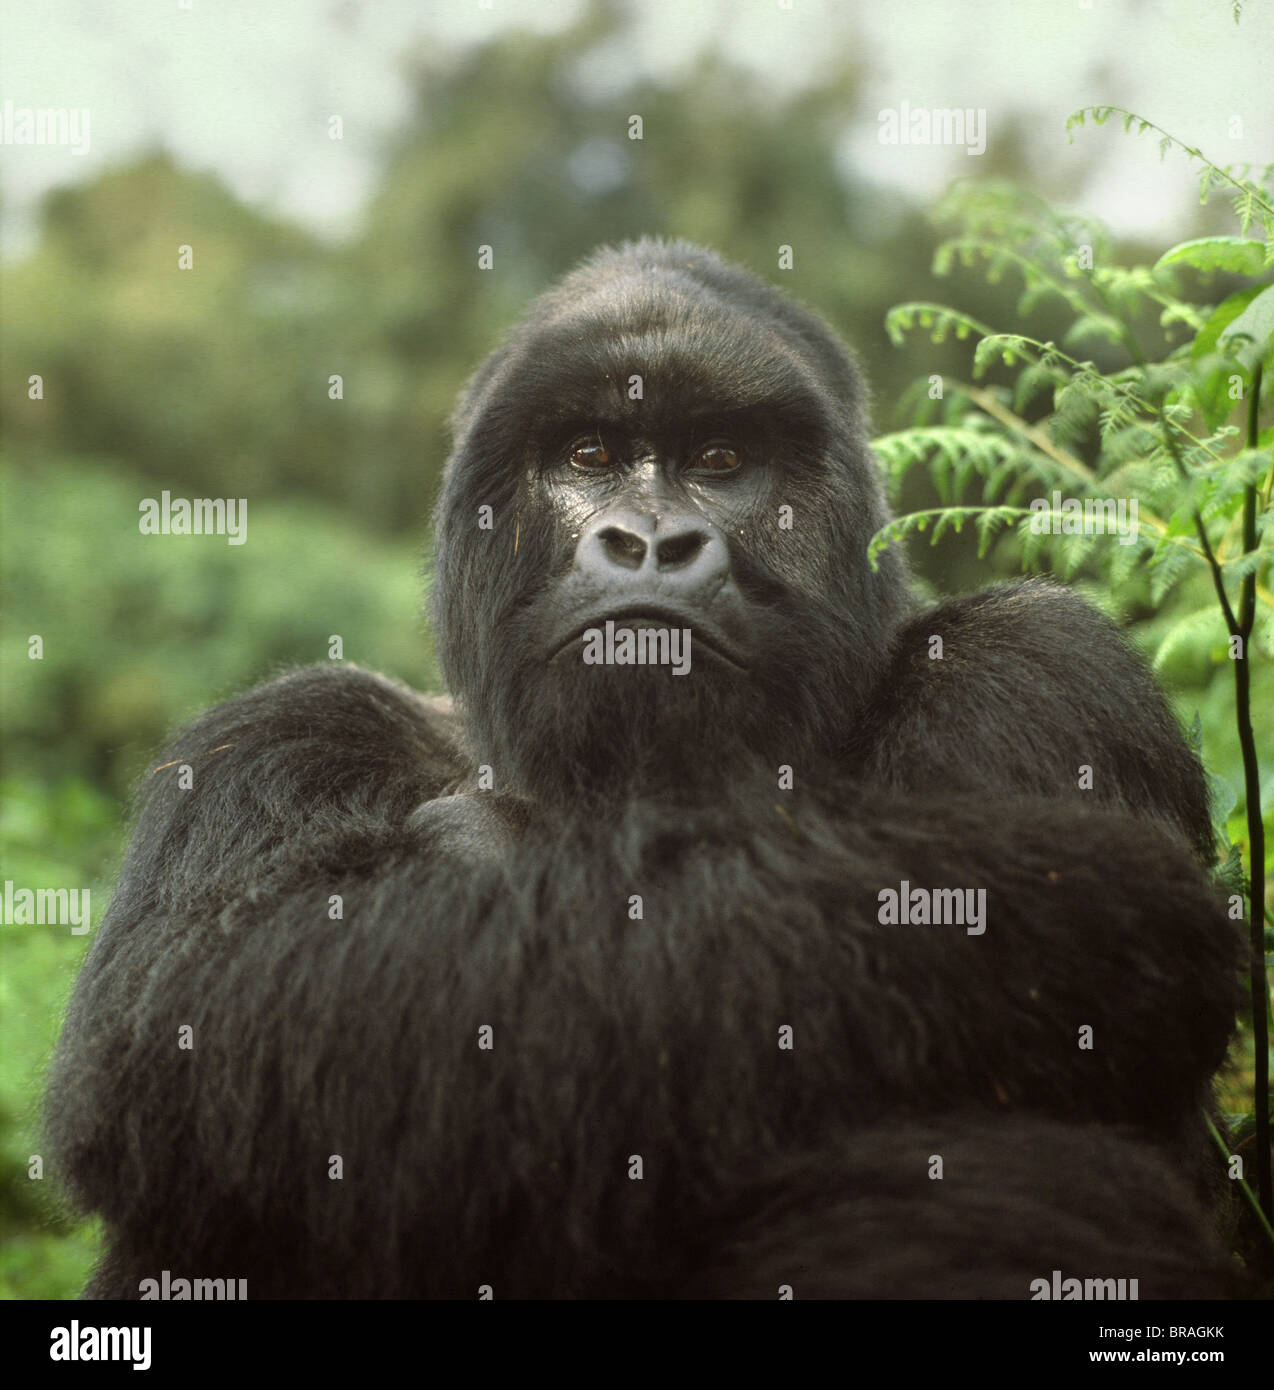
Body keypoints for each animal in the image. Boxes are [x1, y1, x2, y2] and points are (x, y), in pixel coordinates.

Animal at [44, 241, 1239, 1301]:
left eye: (719, 461)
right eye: (588, 456)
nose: (650, 542)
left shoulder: (1036, 666)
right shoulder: (278, 738)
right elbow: (204, 1002)